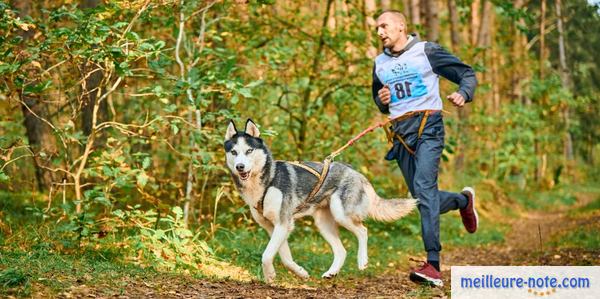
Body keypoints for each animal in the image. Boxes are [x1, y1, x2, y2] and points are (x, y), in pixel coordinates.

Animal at [223, 119, 414, 284]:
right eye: (234, 152)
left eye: (249, 151)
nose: (240, 167)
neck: (268, 181)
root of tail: (357, 173)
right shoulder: (274, 227)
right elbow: (285, 258)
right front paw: (299, 272)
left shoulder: (283, 223)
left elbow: (267, 255)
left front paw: (270, 275)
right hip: (323, 224)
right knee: (342, 250)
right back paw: (332, 272)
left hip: (341, 214)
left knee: (363, 231)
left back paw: (362, 261)